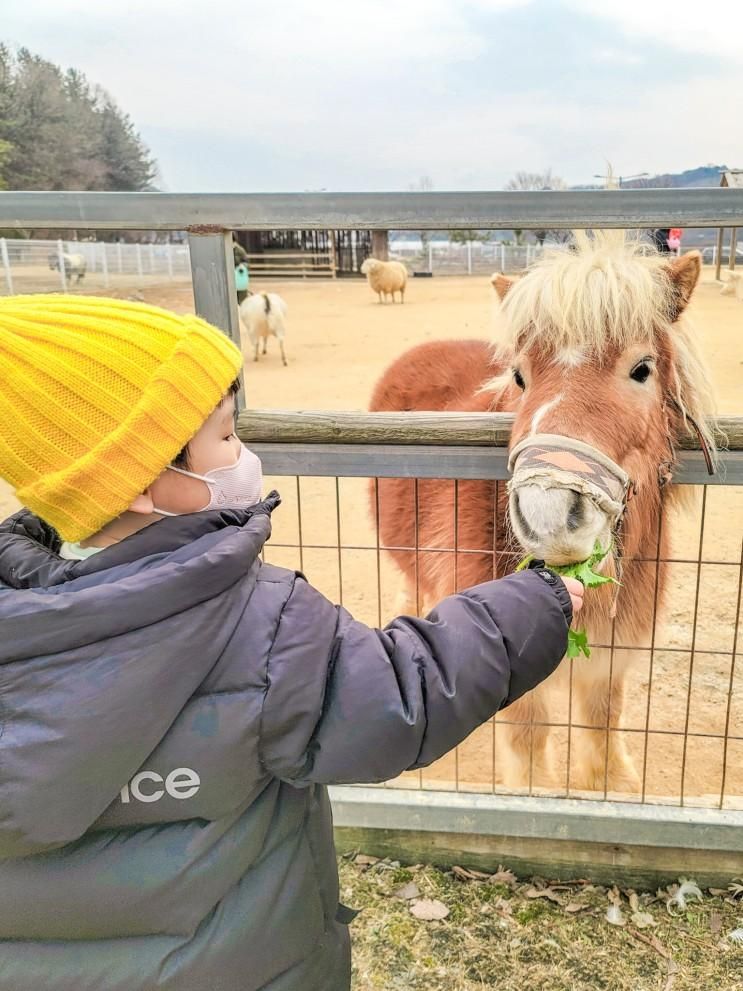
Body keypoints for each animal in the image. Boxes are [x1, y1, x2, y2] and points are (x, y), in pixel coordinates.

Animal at [370, 234, 716, 800]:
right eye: (519, 376)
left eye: (642, 369)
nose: (549, 513)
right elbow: (530, 747)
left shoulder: (610, 663)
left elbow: (603, 734)